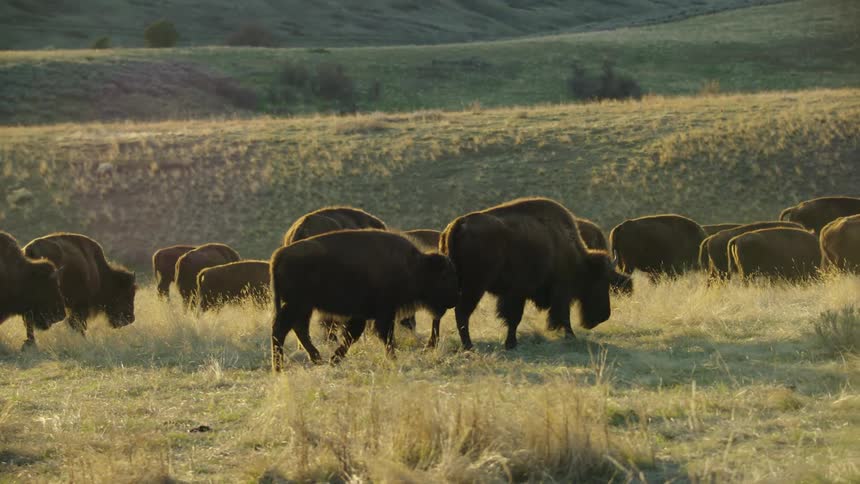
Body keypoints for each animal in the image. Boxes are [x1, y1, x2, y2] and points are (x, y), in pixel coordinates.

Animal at [270, 230, 458, 370]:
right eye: (444, 276)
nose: (455, 298)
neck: (415, 266)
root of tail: (279, 254)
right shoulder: (385, 312)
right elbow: (385, 335)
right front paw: (393, 358)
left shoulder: (363, 314)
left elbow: (353, 335)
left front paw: (334, 359)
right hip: (297, 304)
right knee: (282, 329)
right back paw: (279, 367)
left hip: (303, 307)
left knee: (297, 328)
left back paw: (316, 359)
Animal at [439, 197, 623, 351]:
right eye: (600, 281)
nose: (603, 316)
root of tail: (458, 224)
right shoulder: (553, 291)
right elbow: (558, 315)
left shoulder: (515, 294)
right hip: (475, 287)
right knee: (462, 312)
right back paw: (469, 346)